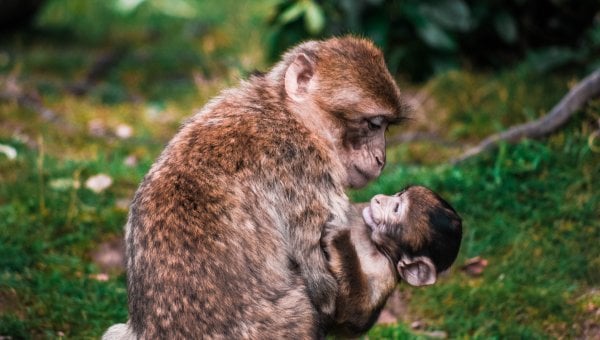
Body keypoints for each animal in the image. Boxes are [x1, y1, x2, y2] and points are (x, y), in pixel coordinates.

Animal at [105, 35, 408, 338]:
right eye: (373, 124)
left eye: (385, 128)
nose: (381, 159)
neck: (287, 113)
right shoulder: (305, 173)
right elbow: (331, 300)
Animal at [326, 185, 462, 336]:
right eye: (398, 194)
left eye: (396, 209)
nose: (379, 198)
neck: (375, 244)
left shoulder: (385, 270)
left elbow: (354, 320)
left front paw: (339, 238)